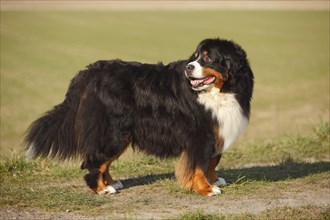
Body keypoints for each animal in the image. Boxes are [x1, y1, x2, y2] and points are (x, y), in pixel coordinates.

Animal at [25, 37, 253, 196]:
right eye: (195, 57)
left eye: (207, 58)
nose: (189, 68)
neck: (221, 91)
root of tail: (88, 73)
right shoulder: (200, 135)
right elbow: (199, 165)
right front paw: (206, 188)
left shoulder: (217, 131)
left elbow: (212, 161)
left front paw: (214, 180)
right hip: (112, 132)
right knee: (95, 161)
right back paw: (101, 189)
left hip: (121, 133)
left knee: (105, 162)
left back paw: (111, 183)